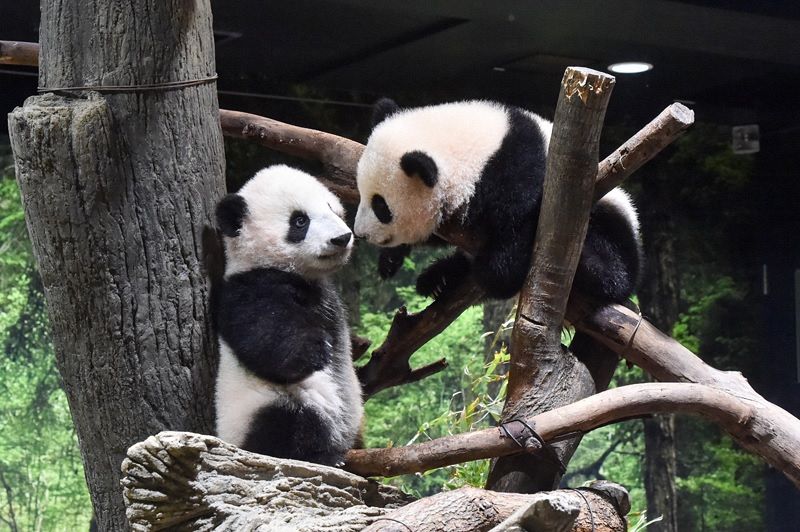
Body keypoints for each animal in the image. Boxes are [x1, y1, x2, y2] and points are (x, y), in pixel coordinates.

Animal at [212, 165, 362, 466]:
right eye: (300, 221)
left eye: (331, 208)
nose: (342, 238)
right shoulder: (248, 288)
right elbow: (265, 337)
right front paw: (318, 349)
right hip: (265, 404)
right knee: (288, 424)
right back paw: (324, 456)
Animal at [356, 97, 644, 302]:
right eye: (361, 194)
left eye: (381, 206)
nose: (360, 234)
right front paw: (390, 258)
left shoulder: (518, 172)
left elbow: (516, 230)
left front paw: (495, 274)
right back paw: (438, 278)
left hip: (607, 217)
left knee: (613, 271)